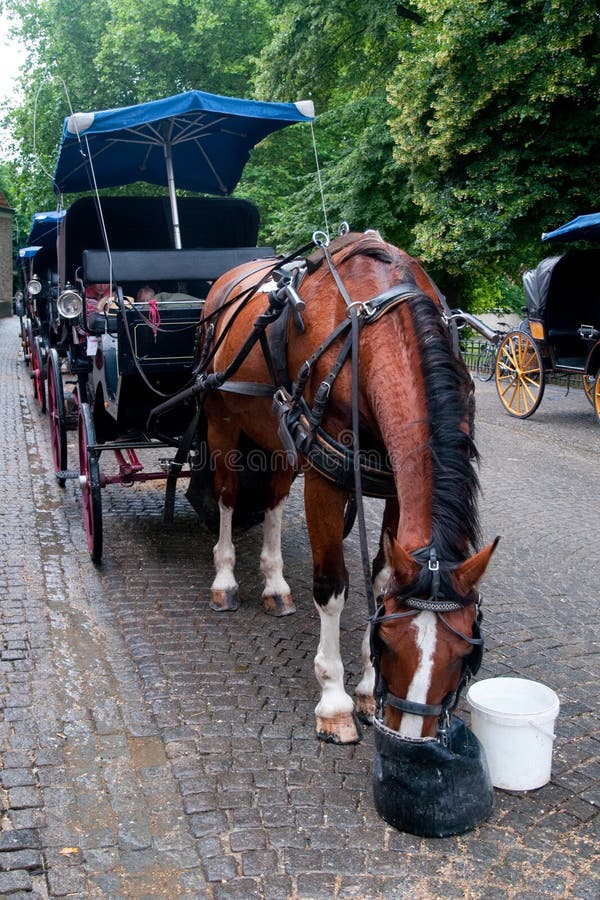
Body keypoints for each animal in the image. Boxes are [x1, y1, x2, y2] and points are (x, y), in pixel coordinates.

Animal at [198, 231, 497, 745]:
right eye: (390, 642)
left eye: (464, 654)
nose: (409, 734)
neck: (370, 336)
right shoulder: (326, 478)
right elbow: (332, 585)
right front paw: (334, 702)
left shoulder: (393, 487)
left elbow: (380, 579)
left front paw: (367, 688)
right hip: (222, 422)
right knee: (228, 495)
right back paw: (225, 580)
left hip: (278, 435)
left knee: (273, 499)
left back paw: (275, 585)